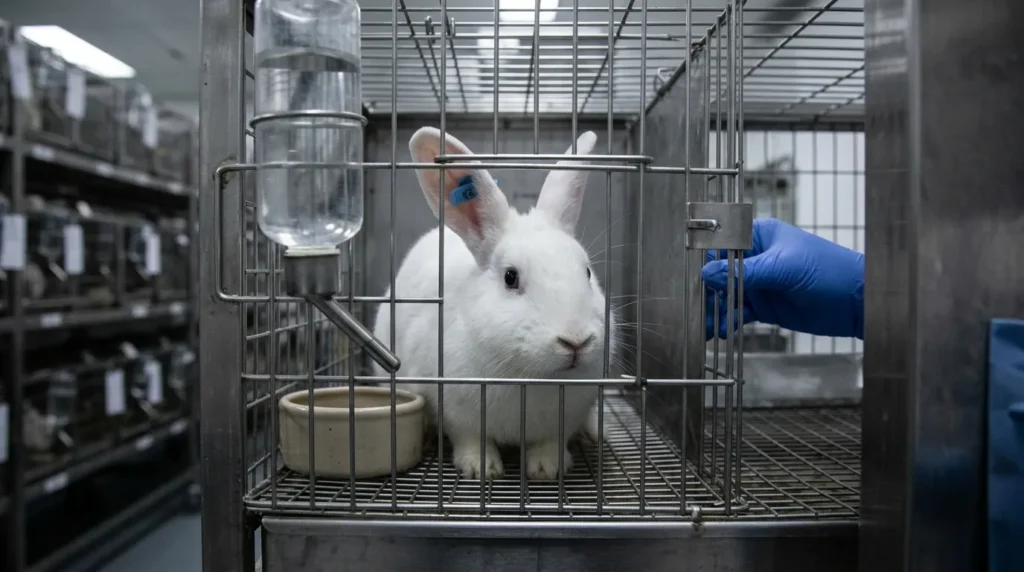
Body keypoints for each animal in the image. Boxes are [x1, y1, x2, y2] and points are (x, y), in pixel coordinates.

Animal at [372, 126, 616, 481]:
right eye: (510, 277)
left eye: (586, 272)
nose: (576, 342)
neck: (532, 377)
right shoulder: (455, 409)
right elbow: (471, 438)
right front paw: (480, 469)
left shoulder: (566, 416)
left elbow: (550, 441)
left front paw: (547, 469)